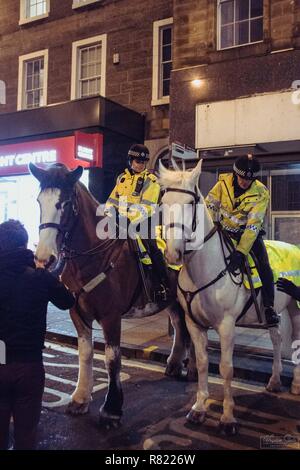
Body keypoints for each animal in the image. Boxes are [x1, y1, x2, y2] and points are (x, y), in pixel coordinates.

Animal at [29, 163, 192, 428]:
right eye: (39, 201)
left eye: (66, 203)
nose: (44, 259)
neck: (92, 257)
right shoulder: (78, 313)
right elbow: (85, 353)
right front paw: (80, 398)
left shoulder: (110, 316)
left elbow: (111, 358)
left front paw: (111, 409)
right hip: (171, 300)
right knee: (179, 326)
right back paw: (176, 363)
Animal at [158, 160, 300, 436]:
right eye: (163, 202)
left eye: (190, 203)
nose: (172, 253)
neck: (205, 267)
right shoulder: (194, 325)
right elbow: (203, 363)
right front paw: (199, 408)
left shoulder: (226, 326)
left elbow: (225, 368)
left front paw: (227, 417)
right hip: (276, 313)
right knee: (277, 339)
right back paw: (275, 380)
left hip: (297, 309)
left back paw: (295, 383)